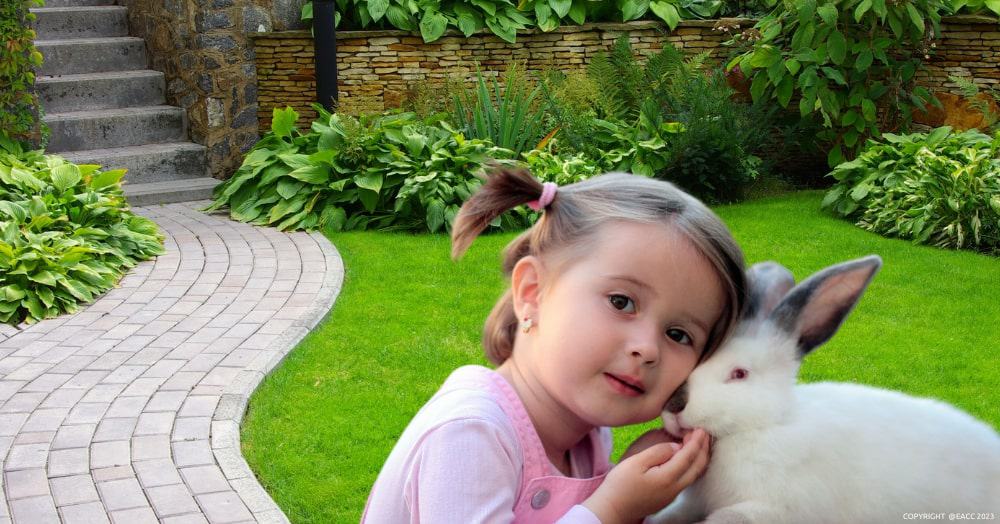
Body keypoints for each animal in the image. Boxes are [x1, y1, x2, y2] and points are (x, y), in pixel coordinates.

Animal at [648, 256, 1000, 524]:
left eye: (739, 374)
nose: (674, 404)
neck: (764, 425)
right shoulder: (692, 503)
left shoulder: (770, 509)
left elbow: (723, 518)